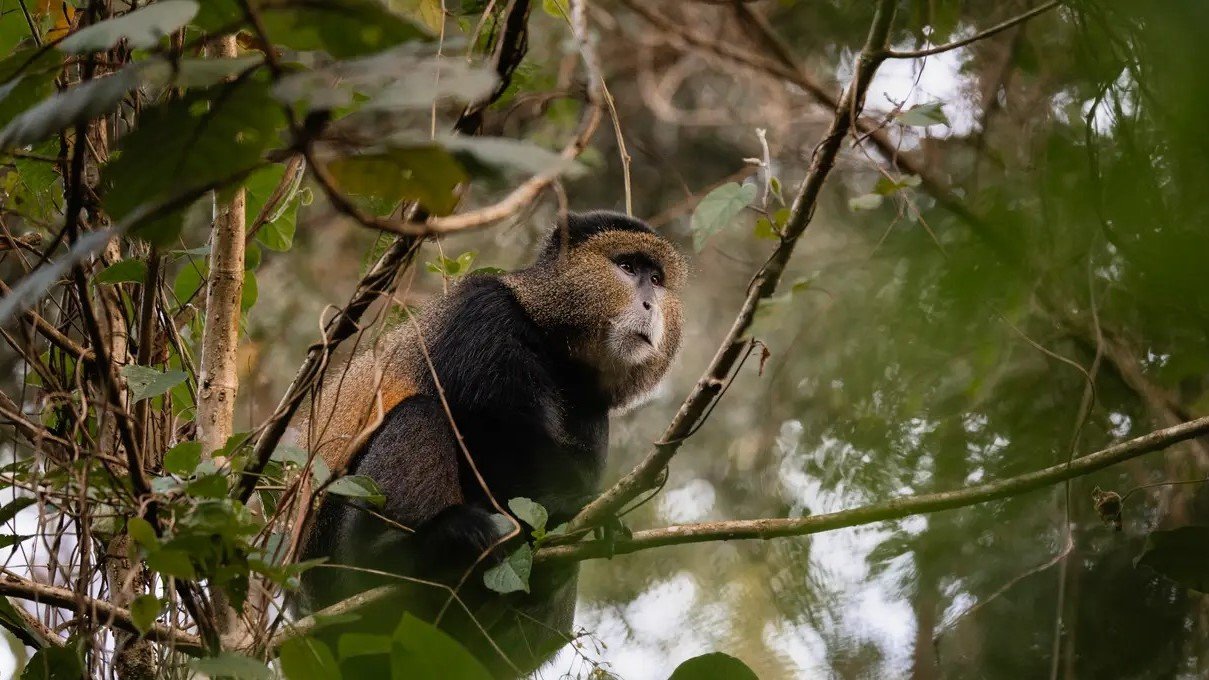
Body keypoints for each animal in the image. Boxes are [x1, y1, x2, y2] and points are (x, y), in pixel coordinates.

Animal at [293, 211, 686, 677]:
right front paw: (576, 508)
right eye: (627, 267)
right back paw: (405, 553)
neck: (553, 342)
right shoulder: (483, 310)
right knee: (420, 414)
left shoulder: (594, 410)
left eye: (657, 279)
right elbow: (493, 428)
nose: (649, 304)